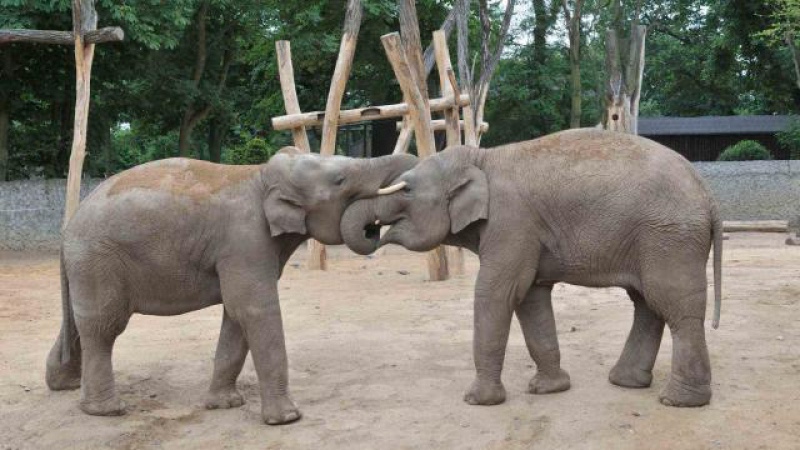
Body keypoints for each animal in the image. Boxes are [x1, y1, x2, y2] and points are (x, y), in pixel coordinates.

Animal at [42, 149, 418, 426]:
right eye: (341, 180)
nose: (374, 228)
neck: (261, 175)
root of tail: (68, 227)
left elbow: (236, 317)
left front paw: (225, 405)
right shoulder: (245, 240)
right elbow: (254, 310)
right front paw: (287, 419)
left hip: (87, 268)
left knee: (78, 325)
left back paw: (64, 385)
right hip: (98, 259)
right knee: (104, 326)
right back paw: (106, 411)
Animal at [340, 129, 720, 408]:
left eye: (406, 190)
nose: (372, 232)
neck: (481, 158)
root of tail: (707, 193)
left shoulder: (511, 222)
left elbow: (497, 294)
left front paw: (478, 401)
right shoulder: (525, 234)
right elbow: (530, 298)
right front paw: (548, 389)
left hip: (669, 236)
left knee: (673, 306)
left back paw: (679, 401)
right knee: (647, 303)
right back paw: (626, 383)